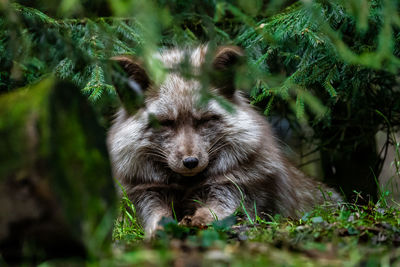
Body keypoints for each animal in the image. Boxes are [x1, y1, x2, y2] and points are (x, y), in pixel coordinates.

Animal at [107, 45, 340, 237]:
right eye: (165, 123)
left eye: (204, 120)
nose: (190, 162)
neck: (186, 187)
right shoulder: (144, 195)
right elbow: (156, 218)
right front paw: (163, 230)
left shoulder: (235, 190)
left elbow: (215, 213)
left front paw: (196, 222)